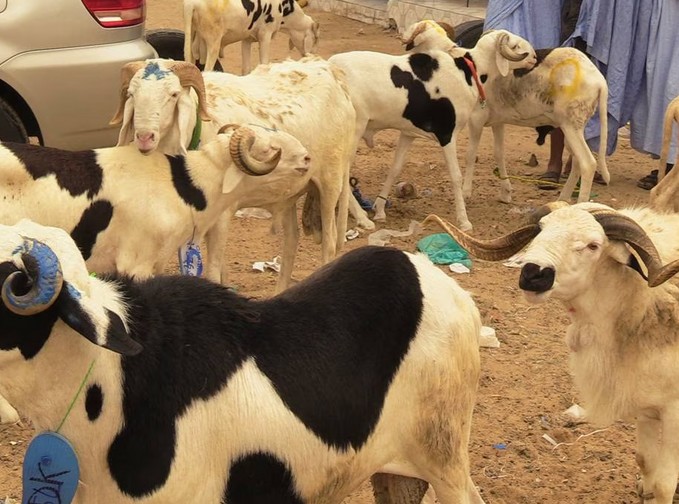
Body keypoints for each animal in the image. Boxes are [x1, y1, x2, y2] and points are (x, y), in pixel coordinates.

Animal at [110, 57, 363, 292]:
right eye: (132, 94)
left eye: (173, 94)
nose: (145, 137)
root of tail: (331, 71)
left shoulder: (221, 216)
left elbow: (213, 270)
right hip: (288, 195)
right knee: (292, 240)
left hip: (331, 182)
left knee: (329, 243)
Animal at [183, 0, 319, 74]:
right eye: (315, 39)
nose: (312, 56)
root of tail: (191, 4)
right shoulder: (265, 34)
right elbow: (264, 63)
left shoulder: (247, 39)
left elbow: (246, 68)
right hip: (214, 43)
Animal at [328, 28, 538, 230]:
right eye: (515, 45)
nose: (535, 57)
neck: (468, 71)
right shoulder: (447, 134)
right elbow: (456, 176)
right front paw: (464, 221)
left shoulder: (408, 133)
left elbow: (395, 169)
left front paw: (379, 209)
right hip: (354, 132)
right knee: (342, 173)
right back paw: (361, 218)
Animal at [425, 201, 679, 504]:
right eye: (541, 230)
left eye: (593, 245)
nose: (533, 273)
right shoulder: (647, 405)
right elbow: (645, 463)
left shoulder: (674, 412)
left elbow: (663, 485)